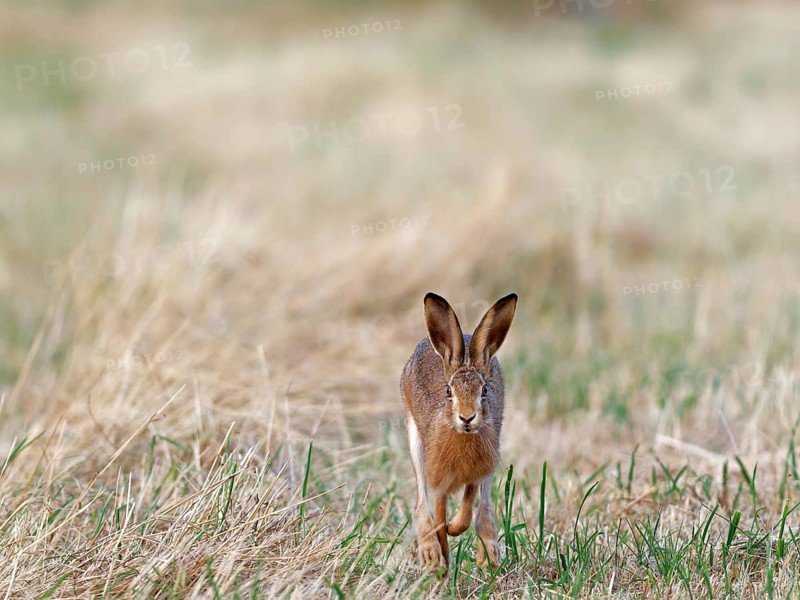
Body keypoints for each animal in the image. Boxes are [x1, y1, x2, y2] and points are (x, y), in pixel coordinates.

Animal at [400, 292, 517, 573]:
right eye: (448, 391)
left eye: (484, 390)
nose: (467, 418)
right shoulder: (438, 481)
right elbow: (438, 516)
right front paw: (441, 561)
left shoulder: (476, 474)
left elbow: (466, 512)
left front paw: (455, 529)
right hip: (415, 443)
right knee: (421, 506)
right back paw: (431, 556)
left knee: (484, 508)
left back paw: (489, 557)